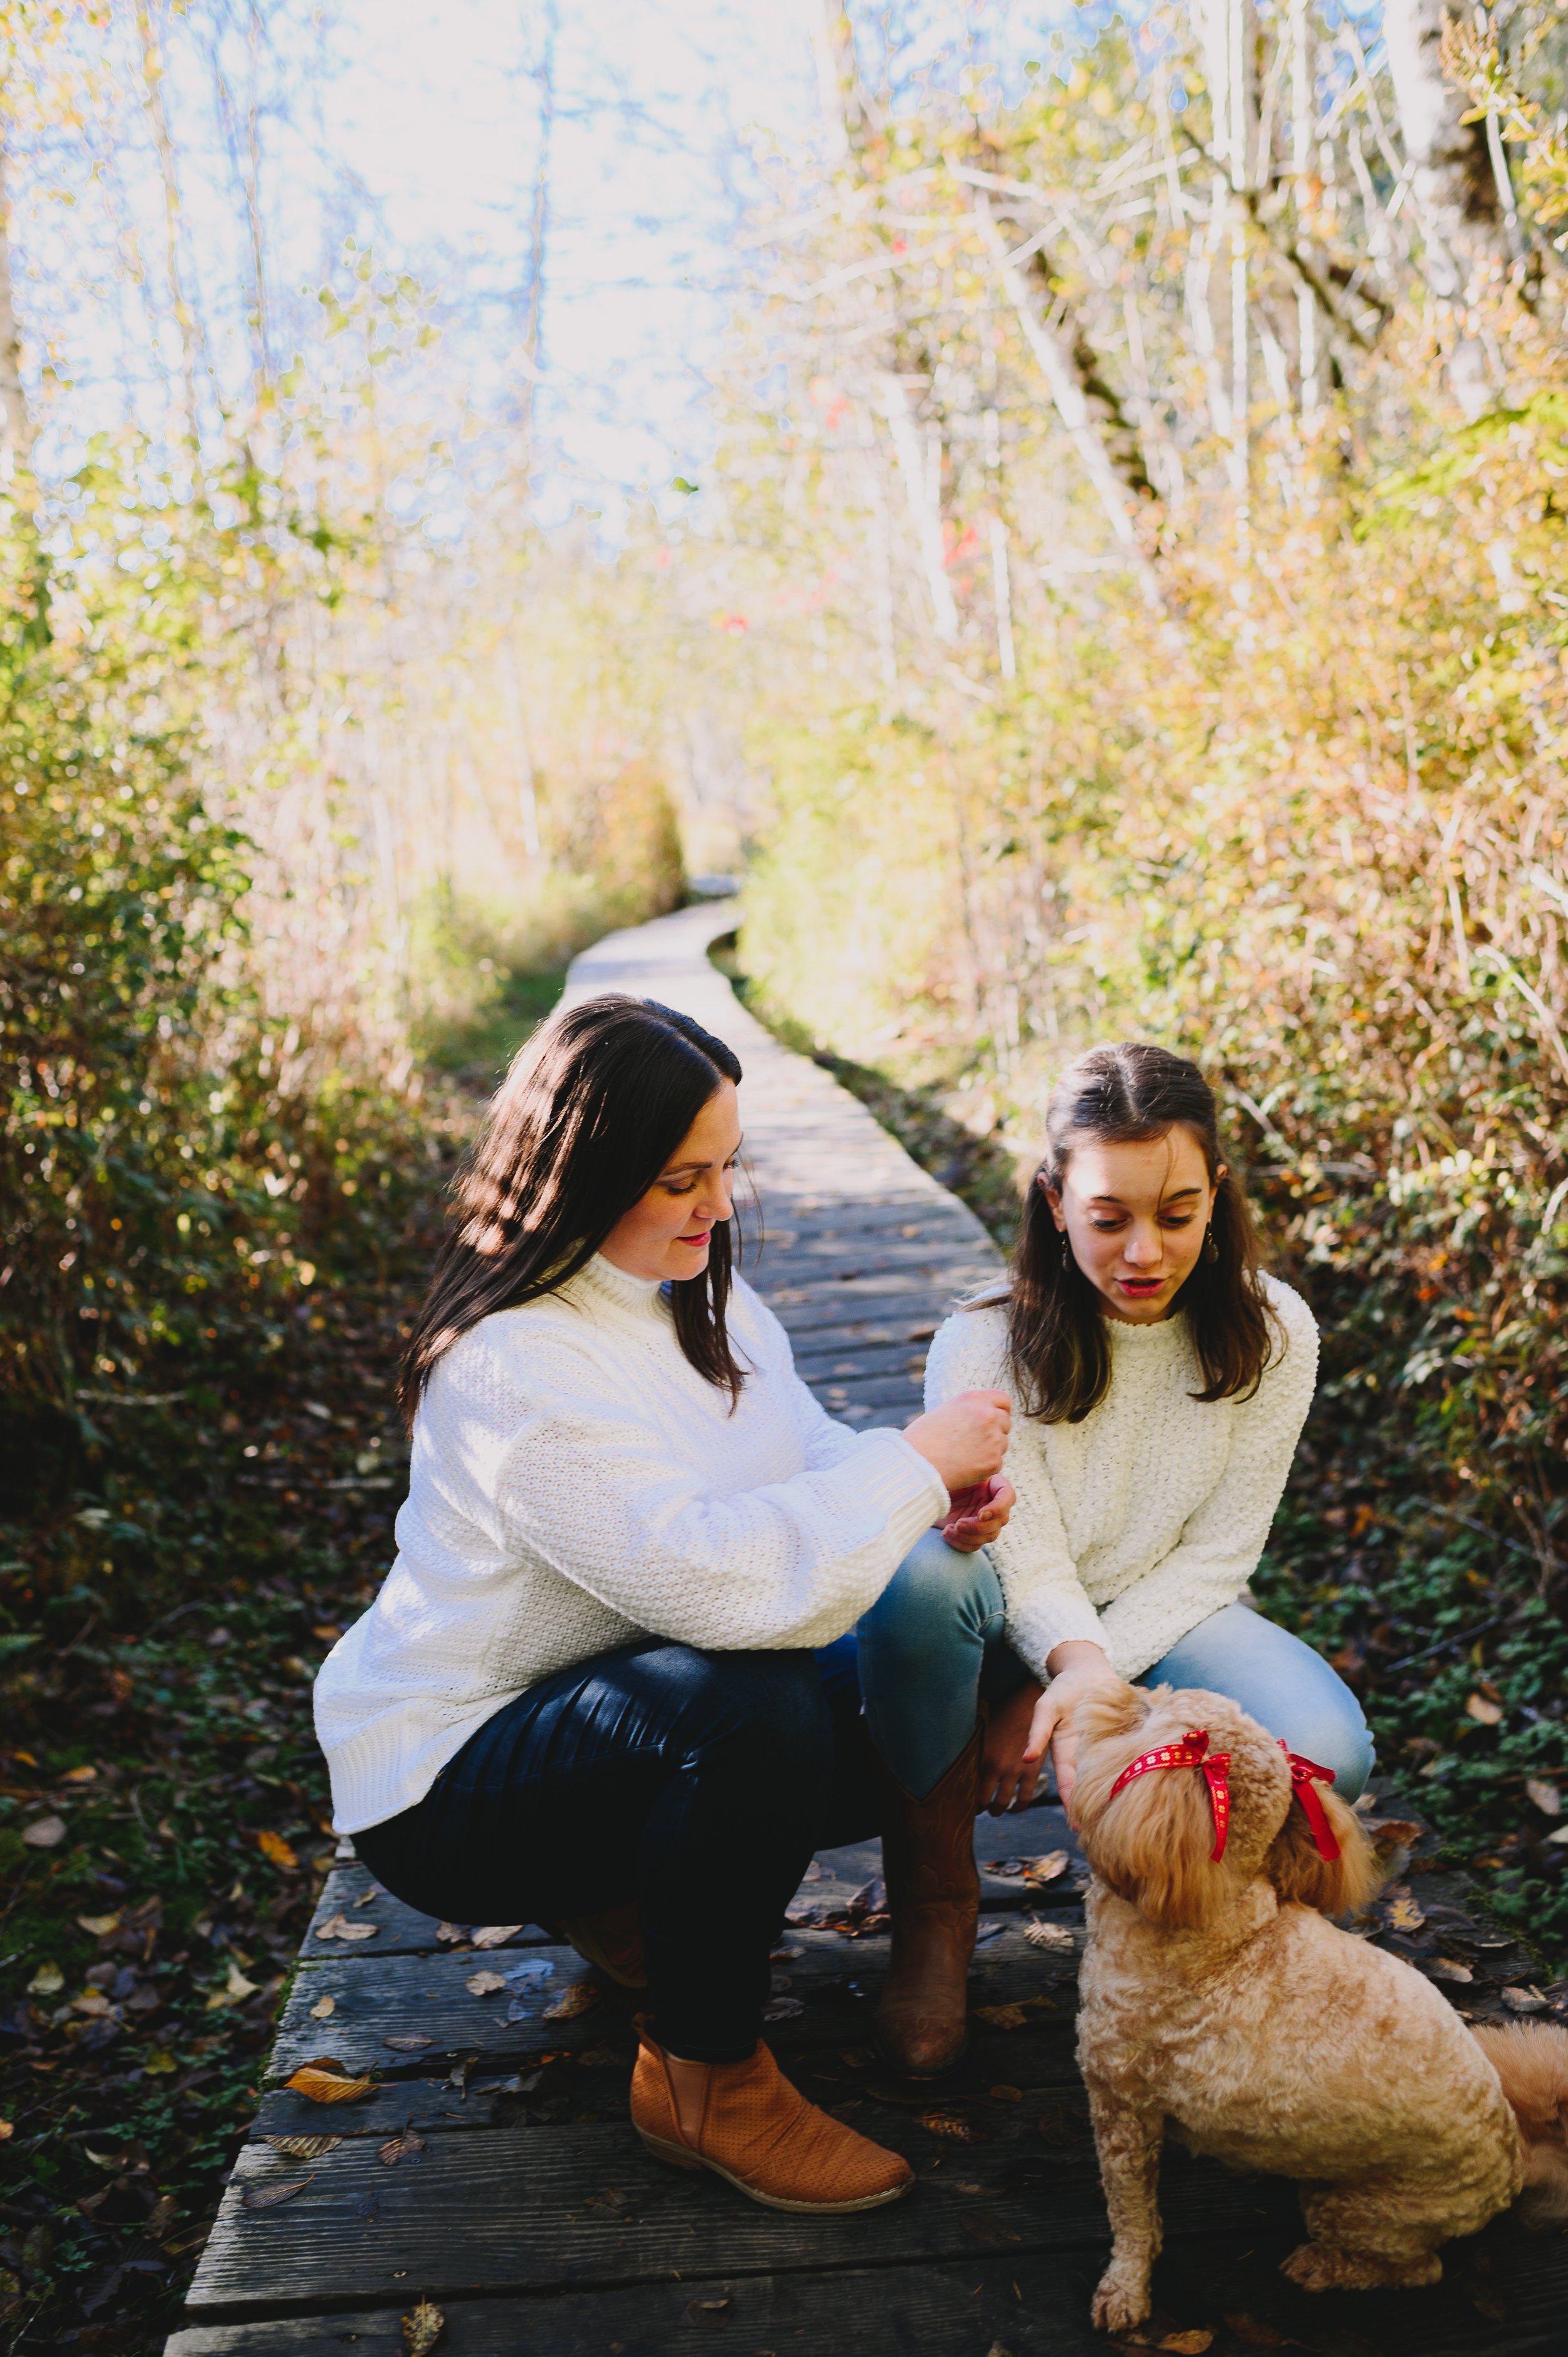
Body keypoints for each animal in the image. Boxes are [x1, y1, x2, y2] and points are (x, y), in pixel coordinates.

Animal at [1066, 1688, 1565, 2328]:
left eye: (1155, 1711)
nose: (1119, 1689)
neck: (1218, 1922)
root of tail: (1518, 2157)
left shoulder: (1121, 2106)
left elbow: (1129, 2213)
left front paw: (1125, 2290)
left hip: (1358, 2207)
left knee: (1418, 2269)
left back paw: (1323, 2268)